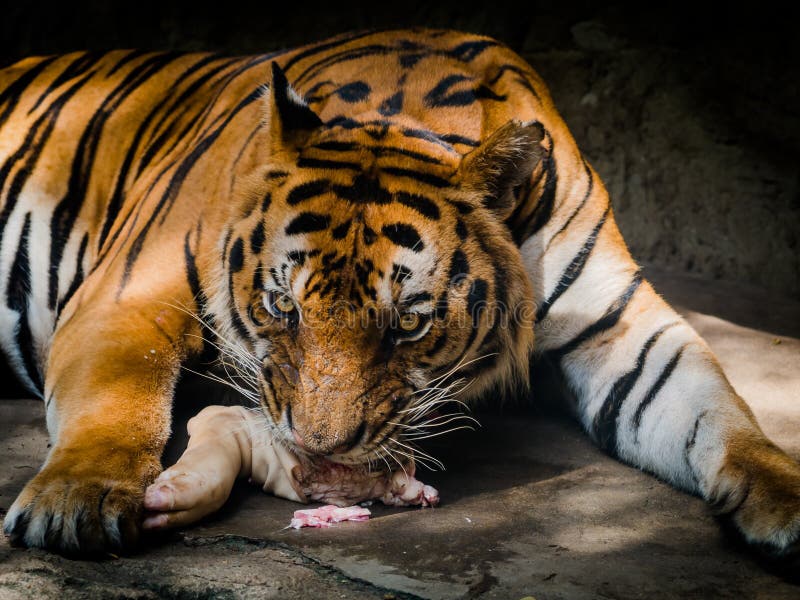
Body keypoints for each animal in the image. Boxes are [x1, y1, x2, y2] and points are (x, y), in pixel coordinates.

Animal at [0, 28, 798, 559]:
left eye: (406, 327)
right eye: (283, 308)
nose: (317, 452)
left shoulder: (618, 325)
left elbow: (713, 410)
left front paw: (783, 497)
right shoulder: (127, 292)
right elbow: (120, 395)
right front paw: (75, 499)